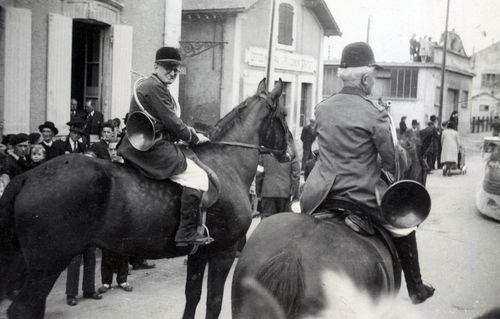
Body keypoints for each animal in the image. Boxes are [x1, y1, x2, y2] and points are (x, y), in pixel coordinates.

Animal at [0, 79, 288, 318]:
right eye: (284, 114)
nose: (290, 153)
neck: (227, 162)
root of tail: (28, 176)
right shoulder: (223, 252)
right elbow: (214, 303)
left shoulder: (200, 254)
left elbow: (192, 297)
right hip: (47, 266)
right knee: (23, 310)